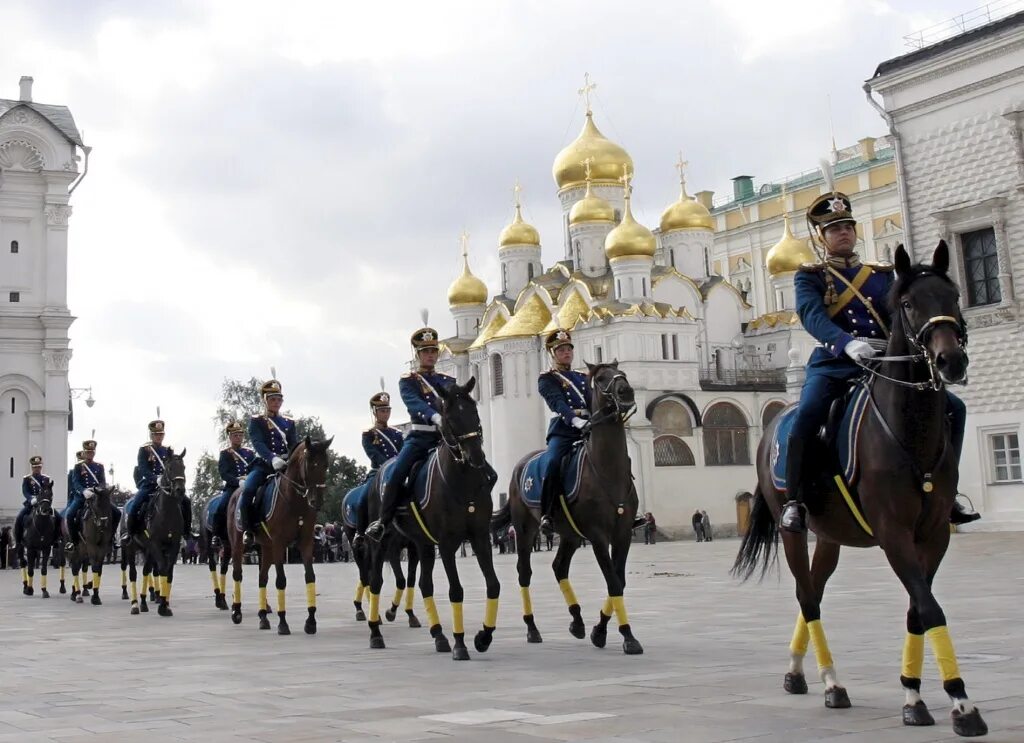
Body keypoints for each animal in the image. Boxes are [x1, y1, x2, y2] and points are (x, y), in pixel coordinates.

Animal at [129, 454, 187, 618]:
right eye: (169, 468)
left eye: (183, 467)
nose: (180, 490)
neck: (167, 512)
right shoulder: (155, 543)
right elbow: (162, 569)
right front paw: (162, 606)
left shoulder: (173, 545)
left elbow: (169, 572)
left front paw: (165, 604)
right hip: (130, 548)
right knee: (133, 574)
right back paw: (134, 604)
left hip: (147, 550)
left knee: (146, 570)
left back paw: (143, 603)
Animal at [227, 440, 331, 638]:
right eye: (310, 464)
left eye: (325, 465)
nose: (318, 501)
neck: (296, 502)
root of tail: (236, 493)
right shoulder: (278, 544)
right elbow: (281, 580)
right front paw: (283, 623)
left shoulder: (306, 543)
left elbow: (310, 577)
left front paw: (311, 621)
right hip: (238, 545)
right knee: (237, 574)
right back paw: (236, 611)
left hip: (266, 548)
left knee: (262, 578)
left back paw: (263, 617)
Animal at [364, 380, 499, 659]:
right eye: (450, 418)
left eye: (475, 412)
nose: (477, 457)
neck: (463, 482)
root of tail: (381, 471)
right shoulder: (447, 544)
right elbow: (456, 590)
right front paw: (461, 644)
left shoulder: (480, 537)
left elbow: (493, 585)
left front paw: (483, 637)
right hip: (381, 543)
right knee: (375, 582)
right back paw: (375, 632)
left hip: (422, 544)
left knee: (424, 584)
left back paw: (438, 635)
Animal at [491, 364, 643, 654]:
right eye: (600, 378)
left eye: (623, 374)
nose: (626, 392)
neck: (607, 469)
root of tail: (521, 465)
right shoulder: (598, 536)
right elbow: (613, 581)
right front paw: (627, 636)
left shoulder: (624, 534)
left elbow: (619, 581)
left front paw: (599, 631)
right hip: (525, 531)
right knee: (524, 573)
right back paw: (532, 628)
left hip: (570, 535)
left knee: (559, 567)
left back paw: (577, 621)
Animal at [733, 244, 987, 740]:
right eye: (907, 303)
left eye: (953, 294)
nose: (951, 362)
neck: (907, 431)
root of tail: (775, 423)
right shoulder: (893, 533)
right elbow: (930, 609)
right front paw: (961, 704)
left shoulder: (934, 535)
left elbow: (918, 608)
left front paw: (914, 695)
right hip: (794, 529)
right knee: (807, 597)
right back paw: (832, 684)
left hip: (830, 535)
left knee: (815, 590)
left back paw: (797, 673)